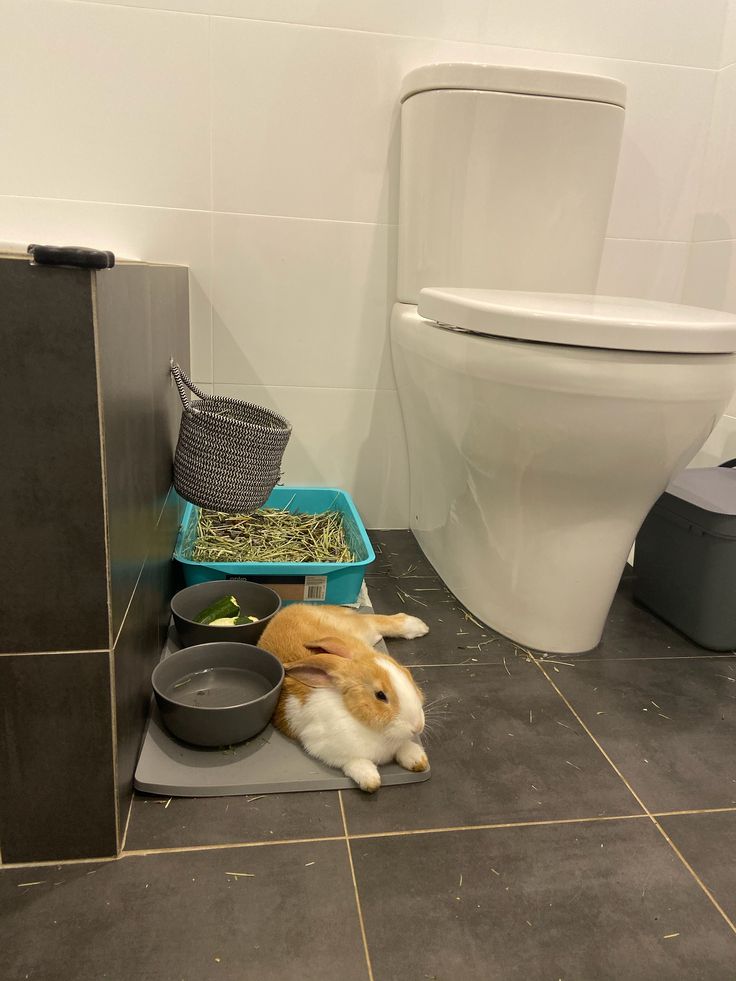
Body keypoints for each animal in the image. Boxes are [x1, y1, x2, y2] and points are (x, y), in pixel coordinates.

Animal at [258, 600, 432, 792]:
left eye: (407, 673)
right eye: (380, 695)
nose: (417, 727)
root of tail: (291, 608)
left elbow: (406, 747)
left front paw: (417, 759)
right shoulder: (326, 749)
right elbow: (356, 765)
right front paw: (370, 780)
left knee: (375, 620)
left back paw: (418, 625)